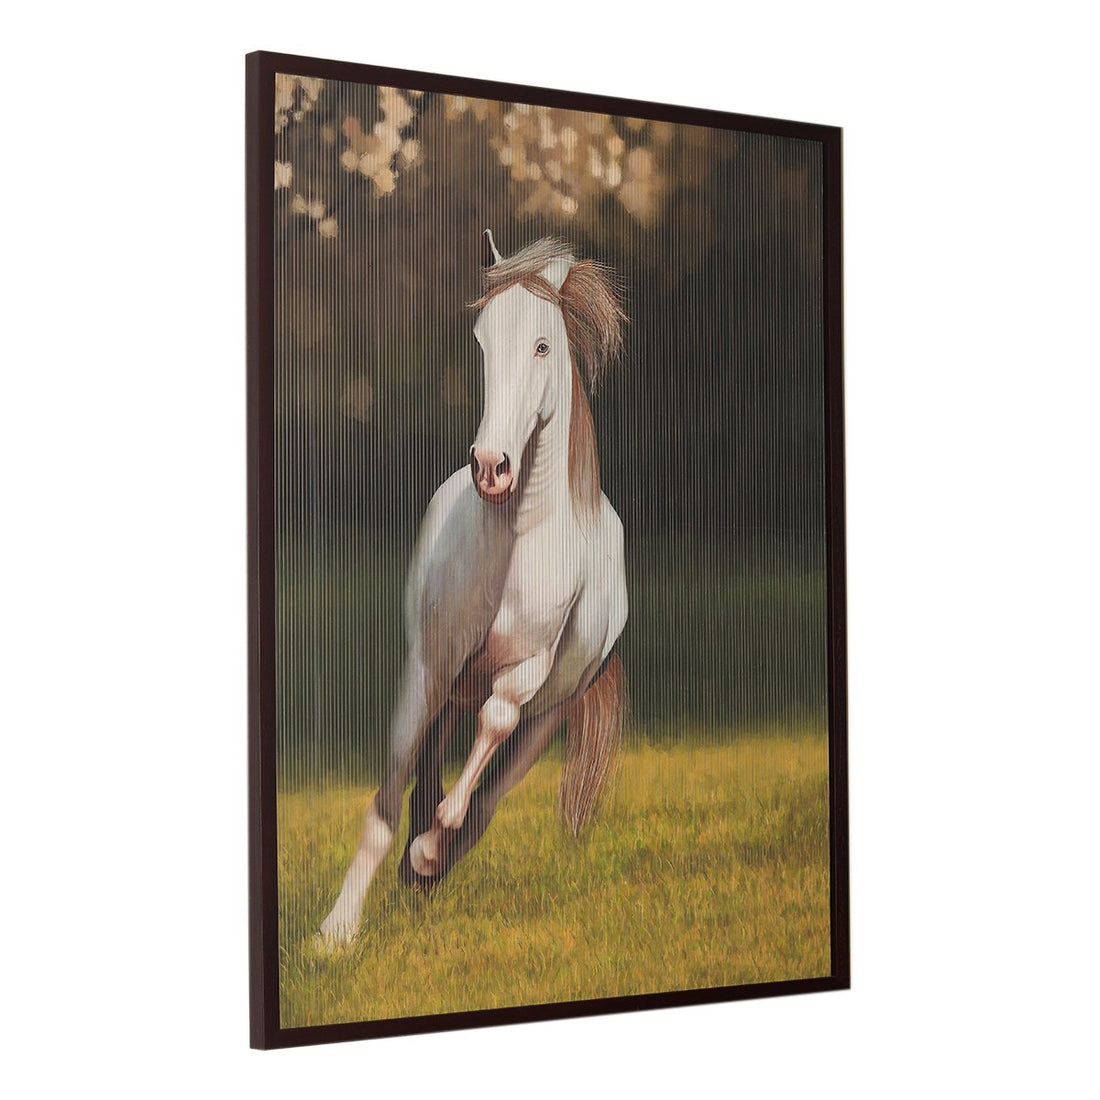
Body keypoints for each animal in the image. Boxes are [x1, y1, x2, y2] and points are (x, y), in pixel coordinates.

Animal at [318, 231, 629, 945]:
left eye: (542, 345)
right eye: (483, 341)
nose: (492, 468)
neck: (516, 540)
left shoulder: (525, 677)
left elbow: (491, 733)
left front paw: (428, 852)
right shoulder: (430, 668)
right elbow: (389, 795)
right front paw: (336, 933)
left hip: (548, 718)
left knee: (487, 794)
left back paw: (430, 861)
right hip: (451, 689)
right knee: (430, 770)